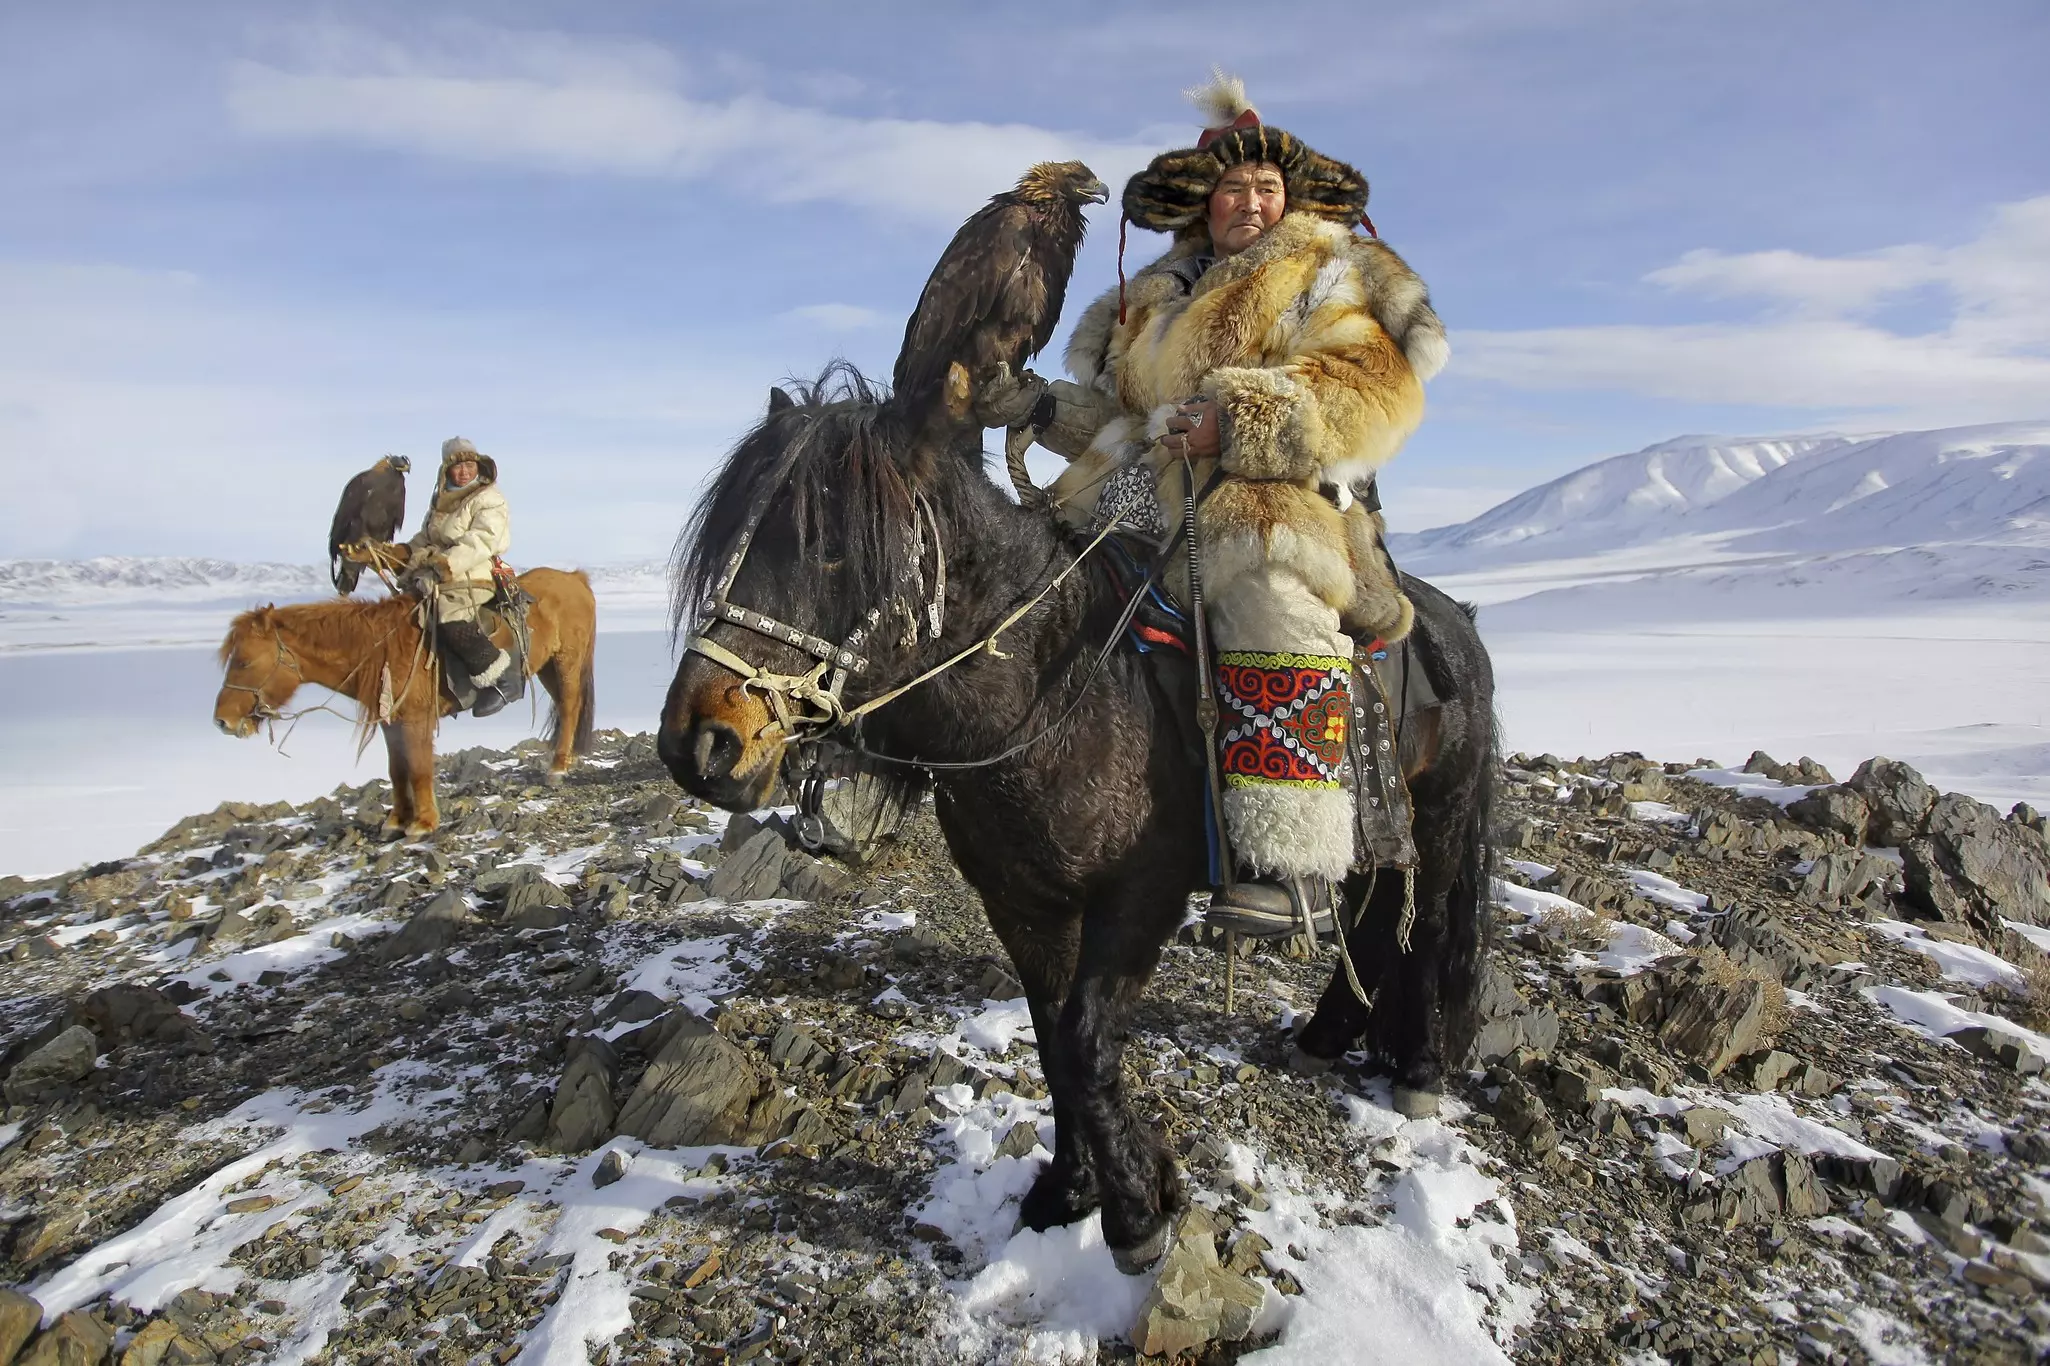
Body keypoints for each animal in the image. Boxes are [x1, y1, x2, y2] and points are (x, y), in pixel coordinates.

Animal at [213, 568, 599, 838]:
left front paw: (423, 823)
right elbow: (397, 769)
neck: (379, 648)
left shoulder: (416, 718)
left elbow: (419, 767)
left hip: (566, 663)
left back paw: (558, 768)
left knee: (569, 707)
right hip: (547, 667)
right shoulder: (390, 720)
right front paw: (397, 821)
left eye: (244, 661)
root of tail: (574, 578)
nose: (222, 722)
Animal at [658, 367, 1495, 1274]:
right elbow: (1054, 1045)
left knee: (1423, 933)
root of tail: (1453, 621)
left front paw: (1138, 1210)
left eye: (832, 545)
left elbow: (1090, 1047)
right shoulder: (1023, 905)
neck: (1050, 692)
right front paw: (1069, 1192)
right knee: (1372, 923)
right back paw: (1326, 1034)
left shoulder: (1138, 902)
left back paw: (1418, 1070)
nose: (699, 744)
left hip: (1440, 820)